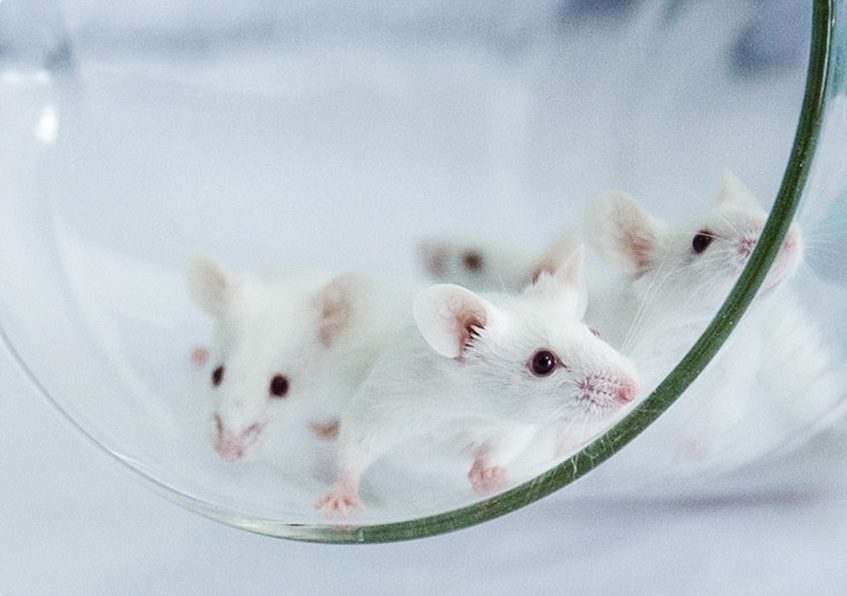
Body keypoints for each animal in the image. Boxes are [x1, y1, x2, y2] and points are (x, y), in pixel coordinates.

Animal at [315, 248, 639, 517]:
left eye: (595, 333)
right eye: (543, 362)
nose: (633, 391)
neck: (465, 411)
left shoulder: (509, 428)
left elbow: (500, 449)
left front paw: (490, 477)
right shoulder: (388, 403)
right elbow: (355, 445)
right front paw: (339, 499)